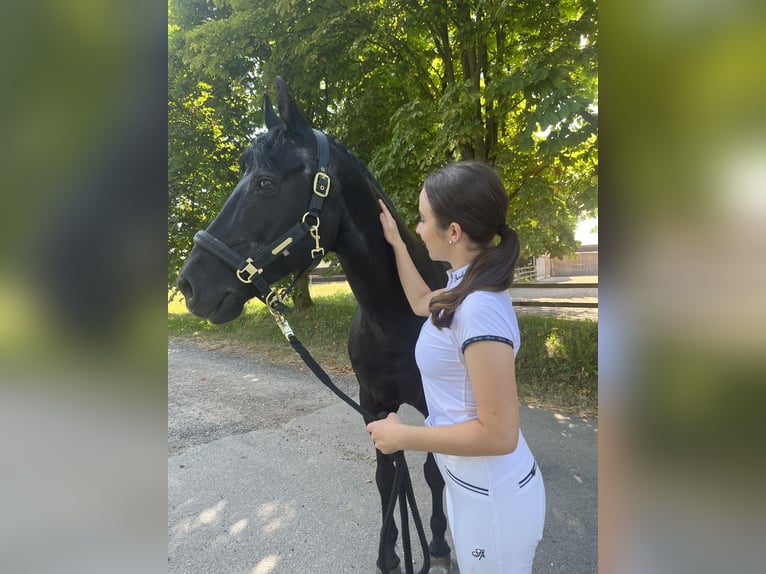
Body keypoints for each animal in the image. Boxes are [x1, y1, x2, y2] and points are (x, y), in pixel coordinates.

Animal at [177, 77, 452, 574]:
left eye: (266, 183)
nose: (188, 285)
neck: (398, 319)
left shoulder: (434, 406)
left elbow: (432, 473)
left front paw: (438, 543)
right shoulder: (373, 404)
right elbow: (387, 477)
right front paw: (389, 553)